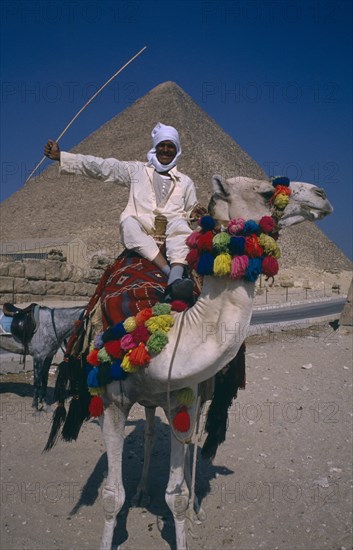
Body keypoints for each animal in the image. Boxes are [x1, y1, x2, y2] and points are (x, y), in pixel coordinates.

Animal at [93, 178, 330, 550]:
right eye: (267, 192)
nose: (321, 196)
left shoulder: (183, 399)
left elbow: (175, 494)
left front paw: (185, 515)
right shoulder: (112, 403)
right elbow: (112, 495)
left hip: (198, 395)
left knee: (193, 438)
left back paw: (195, 507)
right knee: (149, 431)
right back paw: (143, 491)